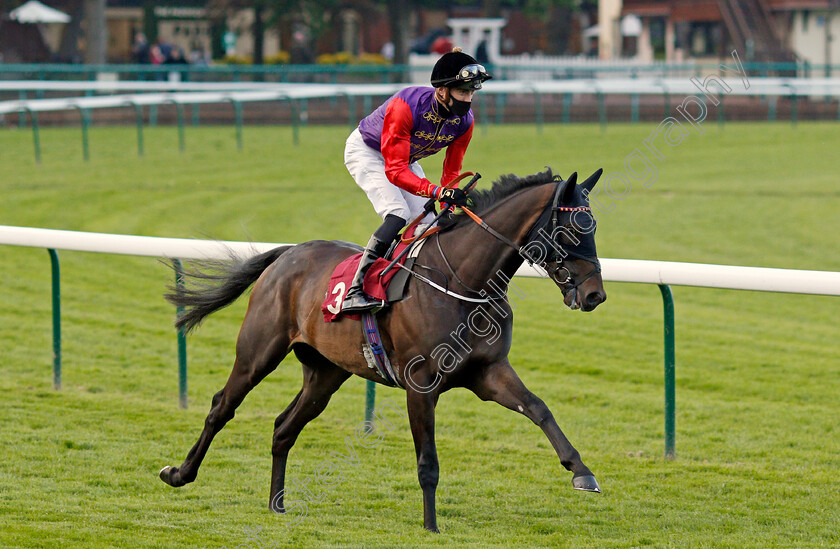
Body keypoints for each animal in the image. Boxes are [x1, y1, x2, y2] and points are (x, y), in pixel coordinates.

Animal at [159, 168, 604, 532]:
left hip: (326, 372)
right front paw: (431, 526)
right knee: (222, 406)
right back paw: (179, 473)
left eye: (594, 225)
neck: (464, 282)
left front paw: (582, 472)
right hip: (259, 350)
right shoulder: (421, 384)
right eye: (571, 228)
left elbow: (539, 408)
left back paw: (277, 504)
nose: (595, 294)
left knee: (284, 427)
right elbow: (428, 461)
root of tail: (288, 252)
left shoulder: (488, 371)